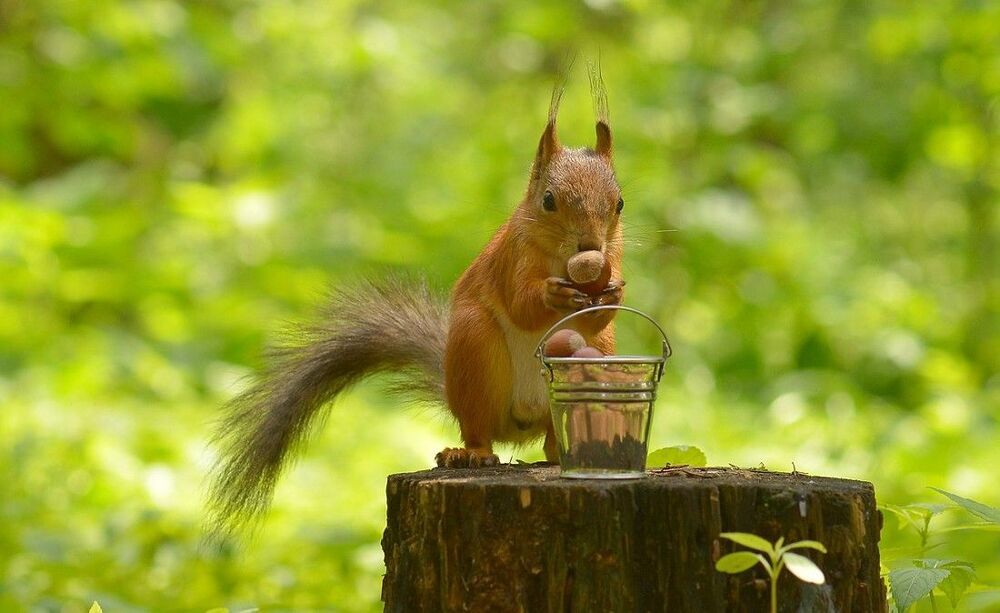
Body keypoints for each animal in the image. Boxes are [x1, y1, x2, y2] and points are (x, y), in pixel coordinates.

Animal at [206, 75, 626, 539]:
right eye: (549, 200)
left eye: (619, 203)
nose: (589, 246)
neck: (557, 259)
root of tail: (523, 419)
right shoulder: (511, 257)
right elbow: (520, 303)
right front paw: (554, 295)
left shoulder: (614, 254)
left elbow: (600, 316)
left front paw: (612, 294)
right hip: (475, 352)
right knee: (478, 428)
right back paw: (470, 454)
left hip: (595, 357)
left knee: (554, 439)